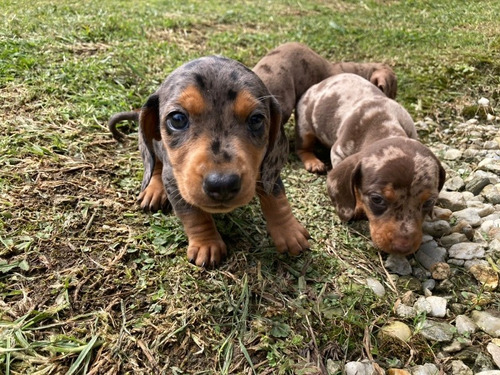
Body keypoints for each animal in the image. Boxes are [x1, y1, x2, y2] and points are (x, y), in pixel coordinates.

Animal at [294, 73, 444, 256]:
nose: (403, 247)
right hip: (305, 127)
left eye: (429, 202)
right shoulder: (338, 152)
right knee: (302, 147)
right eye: (377, 199)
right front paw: (358, 206)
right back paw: (313, 161)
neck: (384, 122)